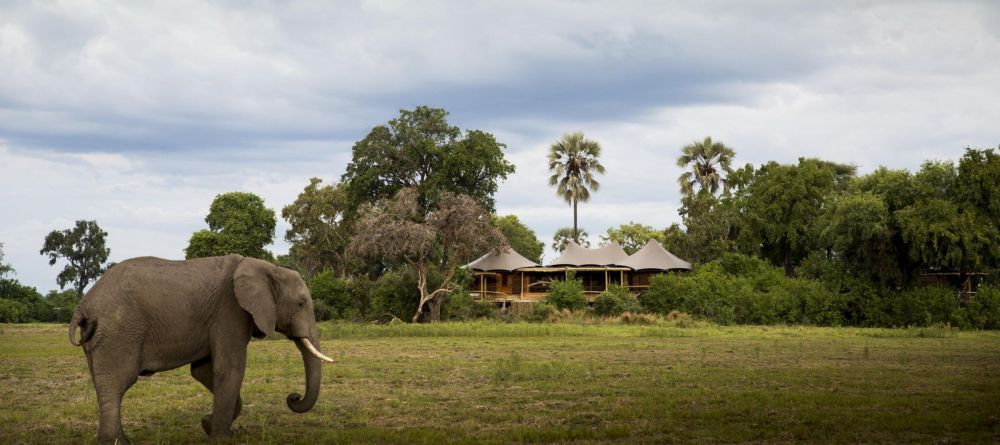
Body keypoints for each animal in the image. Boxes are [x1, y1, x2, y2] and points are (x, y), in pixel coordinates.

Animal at [67, 253, 332, 444]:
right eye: (300, 304)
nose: (293, 397)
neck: (267, 267)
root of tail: (84, 305)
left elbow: (203, 371)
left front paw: (207, 425)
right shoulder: (230, 311)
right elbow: (230, 369)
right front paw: (222, 439)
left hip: (101, 336)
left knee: (103, 383)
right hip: (119, 331)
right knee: (116, 383)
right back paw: (118, 442)